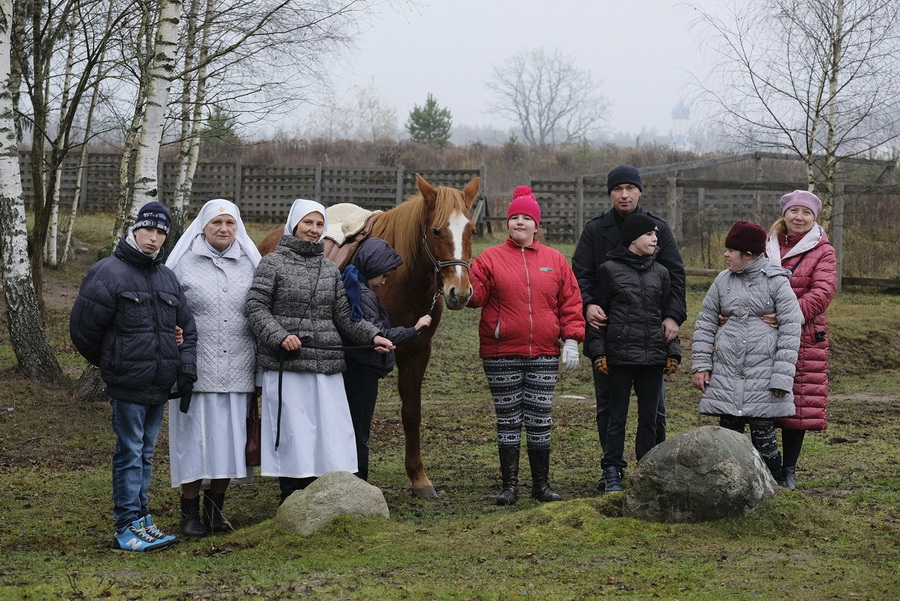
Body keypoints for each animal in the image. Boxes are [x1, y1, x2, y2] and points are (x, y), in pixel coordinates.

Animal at [255, 171, 478, 494]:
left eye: (472, 231)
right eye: (436, 232)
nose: (459, 292)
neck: (402, 280)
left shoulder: (418, 351)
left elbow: (412, 413)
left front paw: (419, 477)